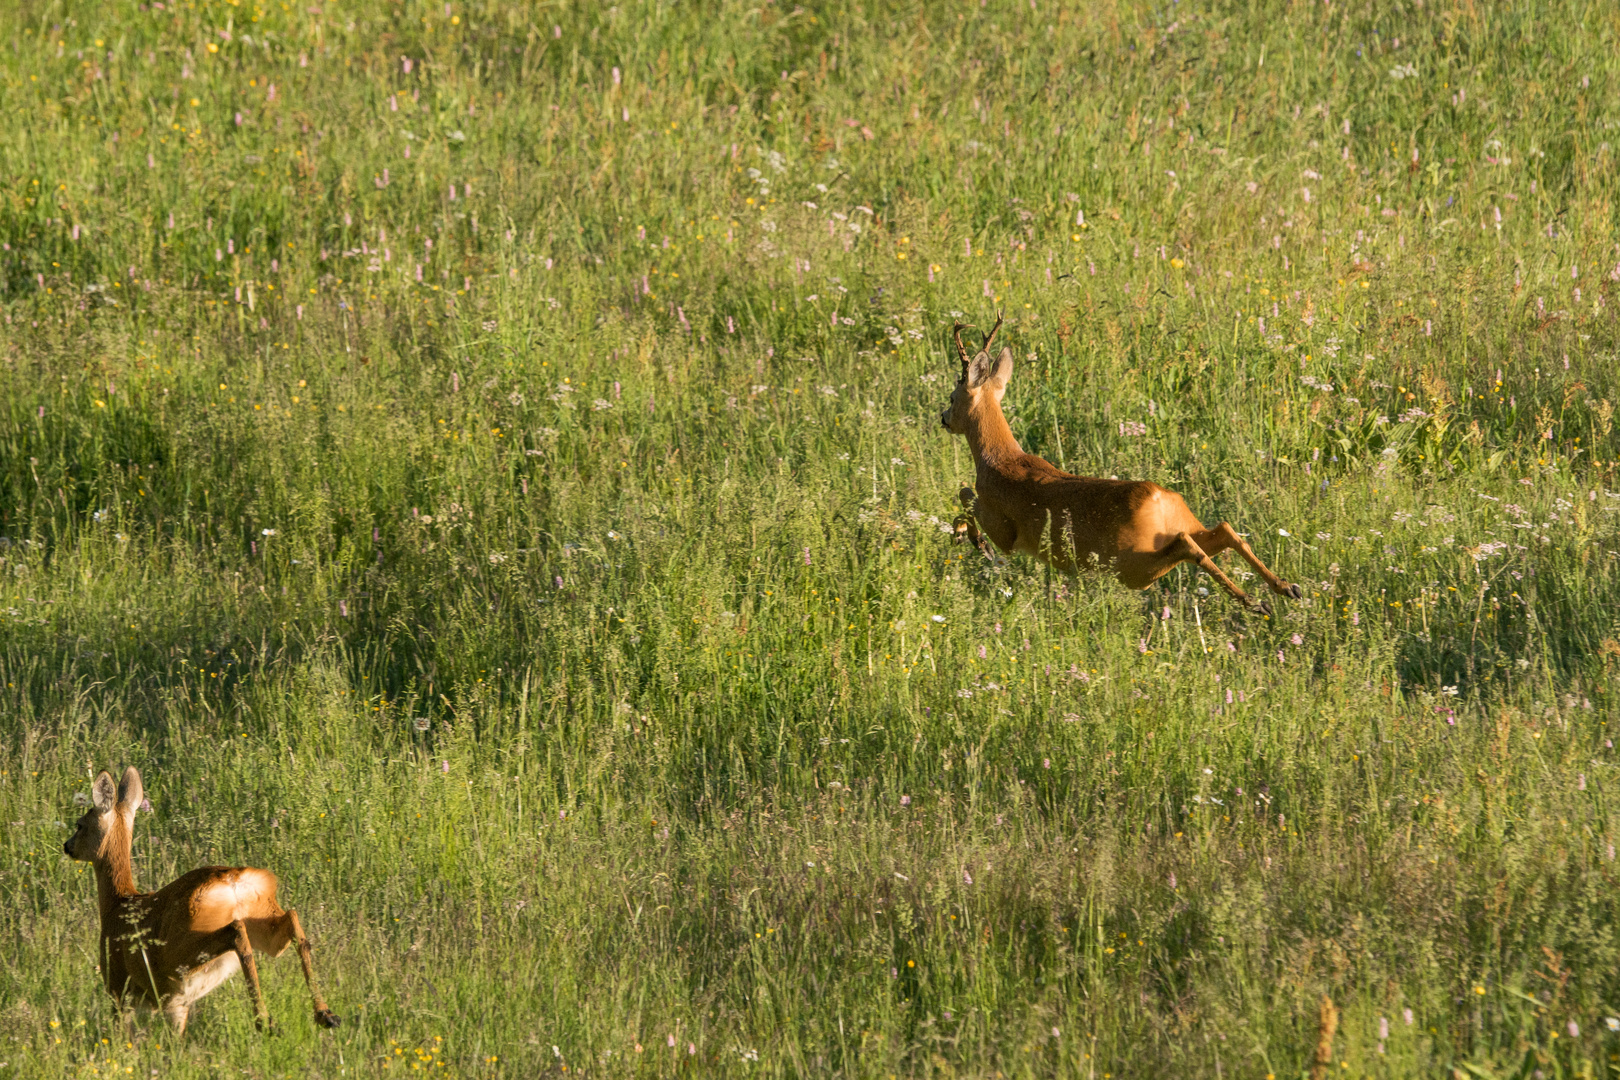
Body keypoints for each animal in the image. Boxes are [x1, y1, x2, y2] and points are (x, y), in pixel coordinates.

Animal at [64, 767, 340, 1036]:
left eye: (80, 824)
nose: (67, 846)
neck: (117, 903)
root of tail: (231, 880)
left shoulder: (118, 985)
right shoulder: (177, 1006)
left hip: (181, 949)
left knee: (236, 932)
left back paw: (265, 1021)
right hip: (262, 922)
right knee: (291, 921)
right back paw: (325, 1014)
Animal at [939, 317, 1302, 612]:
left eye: (952, 397)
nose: (943, 418)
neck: (1000, 458)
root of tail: (1160, 499)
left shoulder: (1004, 528)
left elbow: (965, 495)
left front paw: (972, 540)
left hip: (1132, 566)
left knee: (1189, 546)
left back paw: (1253, 601)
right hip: (1173, 538)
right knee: (1223, 531)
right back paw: (1286, 588)